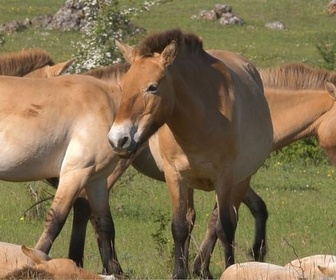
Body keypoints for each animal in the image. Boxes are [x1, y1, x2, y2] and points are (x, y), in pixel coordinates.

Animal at [107, 28, 272, 278]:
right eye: (123, 85)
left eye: (153, 87)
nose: (119, 139)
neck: (202, 118)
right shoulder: (175, 176)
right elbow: (179, 226)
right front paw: (179, 273)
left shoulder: (225, 179)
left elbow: (225, 227)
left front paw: (229, 268)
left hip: (241, 180)